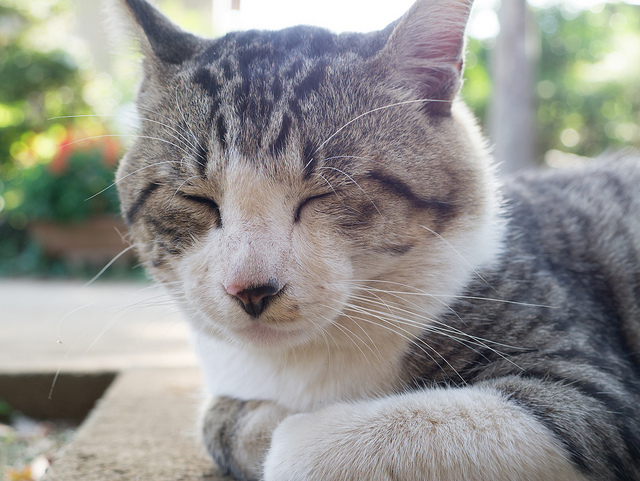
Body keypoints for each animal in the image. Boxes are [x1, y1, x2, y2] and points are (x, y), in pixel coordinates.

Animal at [112, 0, 640, 476]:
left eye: (324, 193)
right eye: (195, 198)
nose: (250, 289)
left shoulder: (591, 394)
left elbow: (298, 450)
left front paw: (287, 429)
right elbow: (214, 420)